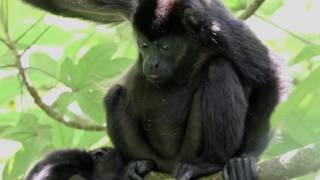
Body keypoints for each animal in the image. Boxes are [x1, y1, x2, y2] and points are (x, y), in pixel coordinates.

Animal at [21, 0, 280, 180]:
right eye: (143, 45)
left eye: (165, 47)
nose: (151, 63)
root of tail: (169, 165)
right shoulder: (137, 8)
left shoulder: (215, 24)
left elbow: (269, 74)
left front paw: (245, 158)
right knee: (114, 96)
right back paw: (140, 165)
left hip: (189, 149)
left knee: (220, 67)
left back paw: (211, 163)